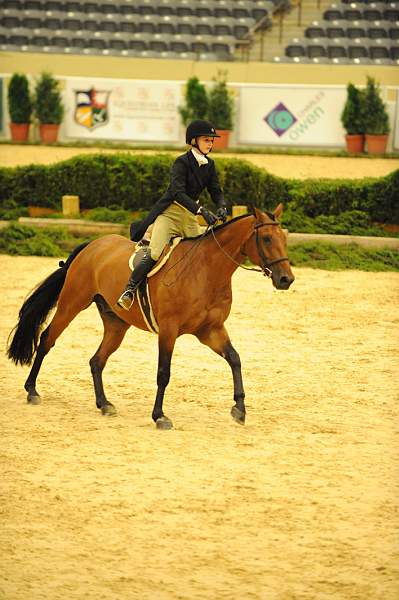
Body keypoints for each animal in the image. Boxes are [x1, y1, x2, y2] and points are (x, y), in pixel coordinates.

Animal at [6, 205, 294, 426]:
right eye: (267, 239)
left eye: (284, 238)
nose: (286, 279)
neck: (206, 271)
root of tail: (93, 245)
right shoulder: (169, 330)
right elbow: (163, 372)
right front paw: (159, 416)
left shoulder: (210, 330)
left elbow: (235, 359)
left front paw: (239, 409)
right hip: (72, 304)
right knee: (47, 339)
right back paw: (32, 390)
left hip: (116, 324)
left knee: (97, 360)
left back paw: (104, 404)